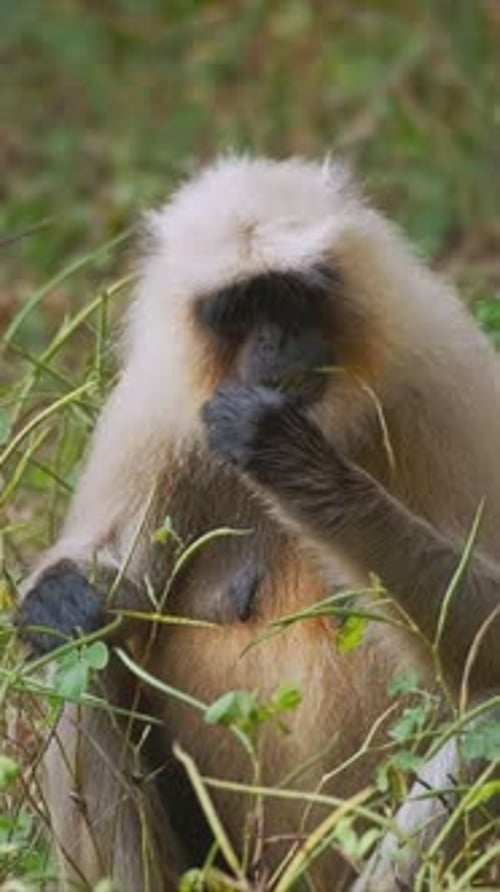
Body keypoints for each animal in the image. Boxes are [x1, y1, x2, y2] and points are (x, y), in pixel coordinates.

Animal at [15, 156, 500, 891]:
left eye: (290, 296)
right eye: (239, 311)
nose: (277, 338)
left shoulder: (445, 379)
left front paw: (286, 458)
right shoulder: (154, 409)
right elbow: (93, 598)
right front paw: (62, 597)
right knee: (74, 655)